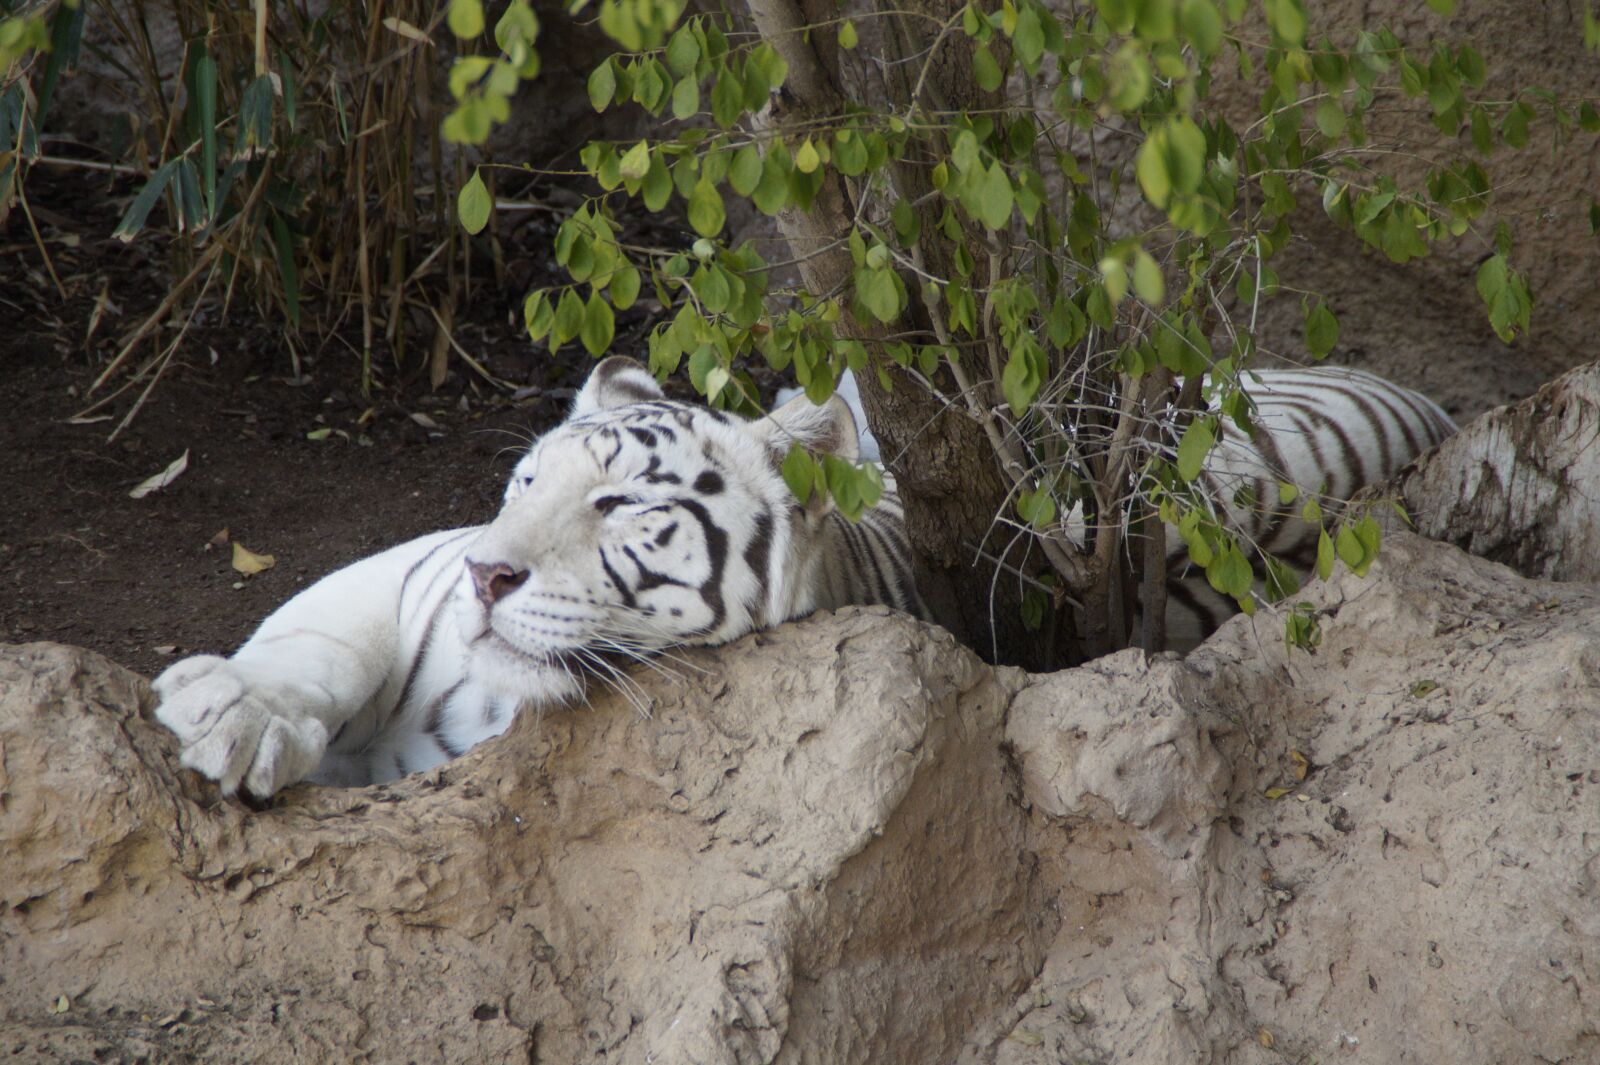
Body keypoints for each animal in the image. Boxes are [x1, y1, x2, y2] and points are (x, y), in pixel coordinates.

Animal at [153, 356, 926, 799]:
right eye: (526, 482)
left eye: (620, 504)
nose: (483, 574)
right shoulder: (398, 573)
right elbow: (320, 645)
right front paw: (233, 713)